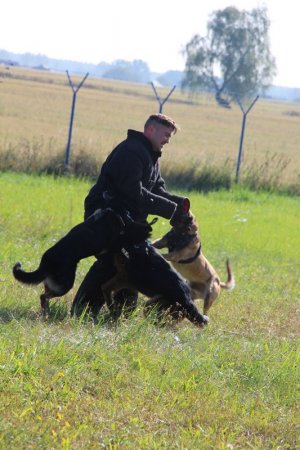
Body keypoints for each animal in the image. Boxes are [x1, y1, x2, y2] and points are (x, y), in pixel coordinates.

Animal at [12, 207, 152, 316]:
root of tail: (45, 262)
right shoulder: (114, 242)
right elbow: (123, 241)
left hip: (54, 283)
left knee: (44, 296)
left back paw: (46, 312)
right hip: (65, 285)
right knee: (43, 296)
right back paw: (46, 312)